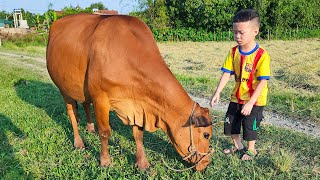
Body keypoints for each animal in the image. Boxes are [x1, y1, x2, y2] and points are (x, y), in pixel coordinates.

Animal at [46, 13, 212, 171]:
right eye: (206, 134)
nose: (206, 163)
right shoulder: (100, 99)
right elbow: (105, 132)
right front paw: (105, 161)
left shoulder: (138, 106)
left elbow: (138, 135)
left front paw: (142, 163)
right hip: (63, 88)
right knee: (72, 113)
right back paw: (78, 142)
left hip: (82, 89)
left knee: (85, 104)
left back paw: (90, 128)